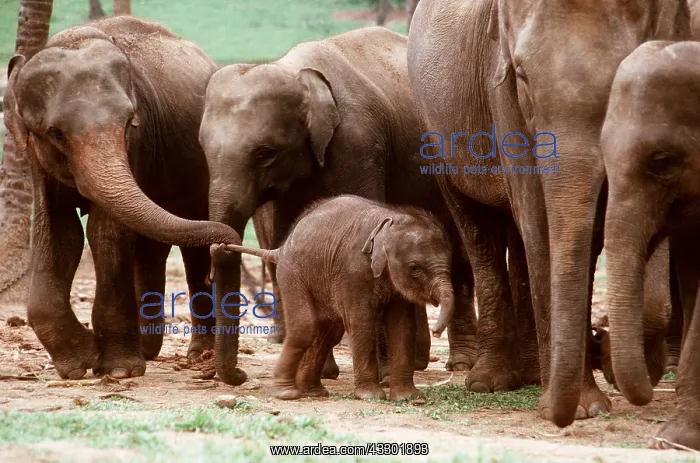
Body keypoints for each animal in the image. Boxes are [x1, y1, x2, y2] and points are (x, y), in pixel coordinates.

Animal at [3, 16, 241, 381]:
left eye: (130, 122)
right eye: (56, 134)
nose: (229, 245)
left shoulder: (138, 145)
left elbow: (106, 233)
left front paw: (118, 370)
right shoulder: (36, 157)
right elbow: (61, 232)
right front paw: (79, 363)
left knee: (191, 246)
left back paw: (198, 355)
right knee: (151, 246)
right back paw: (149, 349)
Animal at [210, 195, 455, 401]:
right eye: (415, 268)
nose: (437, 331)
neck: (389, 221)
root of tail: (281, 248)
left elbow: (402, 326)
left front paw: (409, 399)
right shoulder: (352, 272)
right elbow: (362, 322)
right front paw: (371, 397)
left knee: (328, 331)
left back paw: (314, 392)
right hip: (292, 273)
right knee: (306, 326)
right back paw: (287, 393)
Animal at [407, 0, 690, 426]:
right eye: (522, 75)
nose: (601, 341)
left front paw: (602, 364)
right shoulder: (503, 97)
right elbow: (538, 219)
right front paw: (585, 405)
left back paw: (531, 374)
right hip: (437, 133)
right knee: (481, 233)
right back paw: (490, 381)